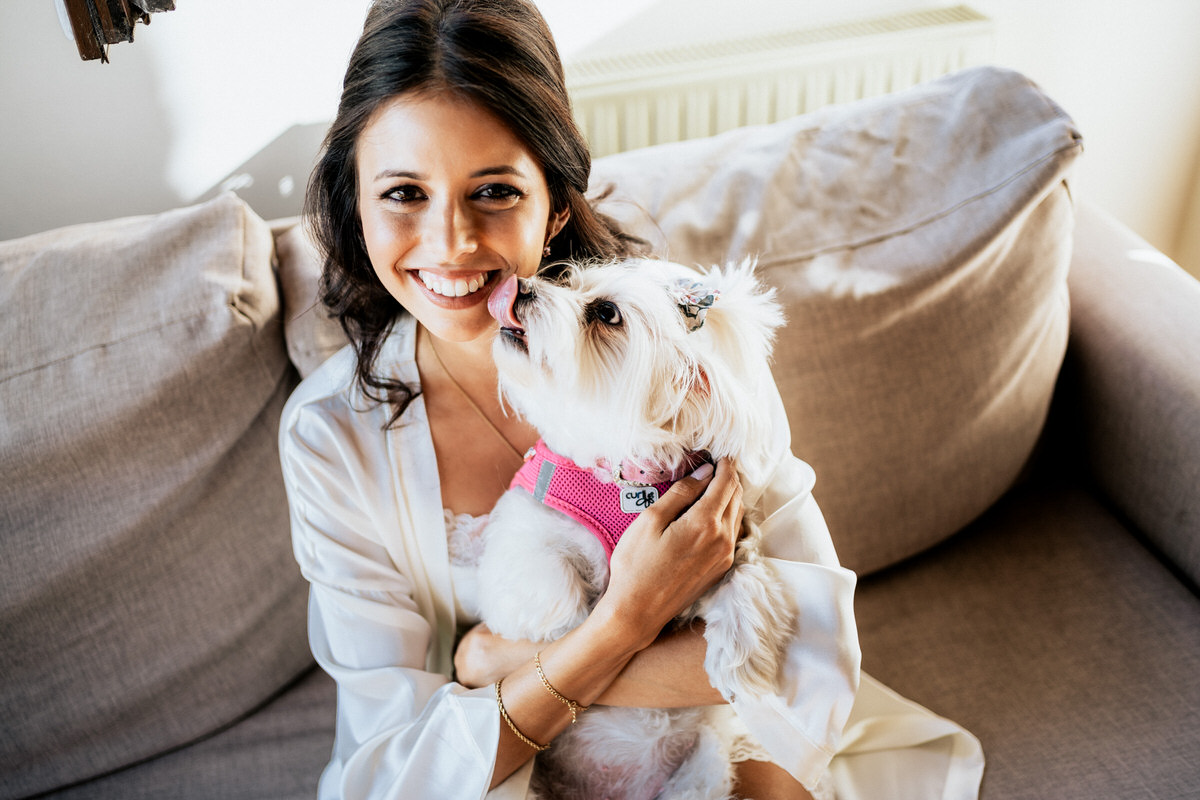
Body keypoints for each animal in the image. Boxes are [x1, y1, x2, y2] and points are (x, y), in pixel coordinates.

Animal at [477, 260, 796, 796]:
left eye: (606, 313)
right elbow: (547, 579)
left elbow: (747, 580)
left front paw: (742, 662)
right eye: (568, 282)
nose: (520, 287)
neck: (628, 477)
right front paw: (574, 622)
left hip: (705, 765)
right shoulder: (522, 528)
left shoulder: (728, 541)